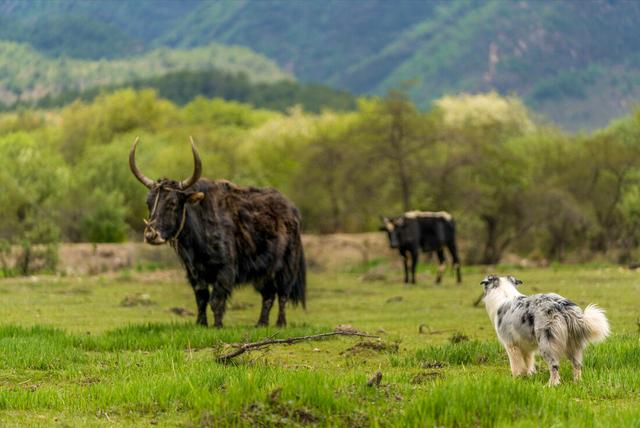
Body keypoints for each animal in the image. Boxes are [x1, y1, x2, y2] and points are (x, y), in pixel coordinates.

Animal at [480, 276, 608, 386]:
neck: (504, 294)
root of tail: (561, 305)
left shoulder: (511, 345)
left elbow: (517, 366)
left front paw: (517, 378)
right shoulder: (525, 348)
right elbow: (528, 363)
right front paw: (527, 376)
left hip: (547, 343)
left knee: (554, 366)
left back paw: (551, 385)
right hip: (572, 344)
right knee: (577, 365)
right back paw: (577, 382)